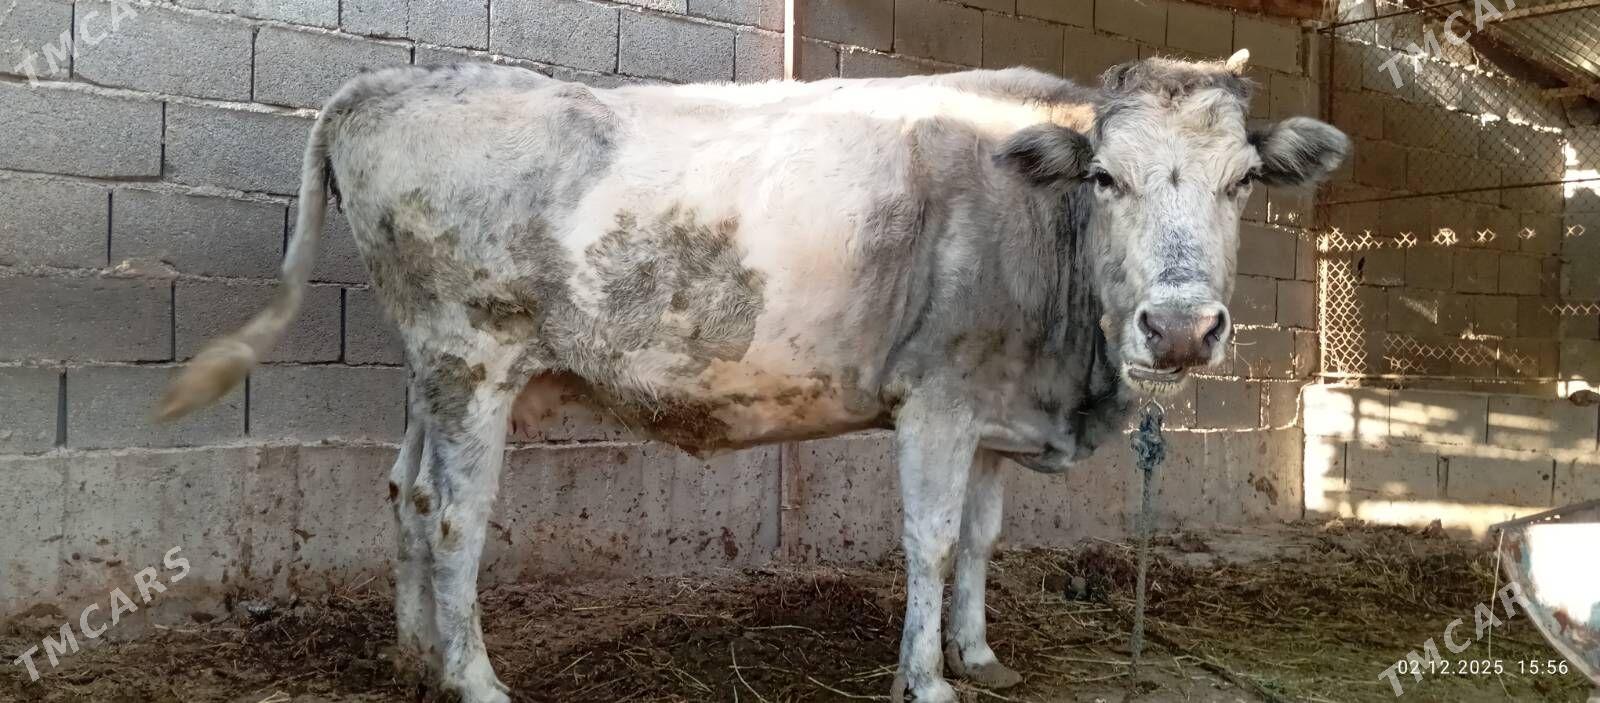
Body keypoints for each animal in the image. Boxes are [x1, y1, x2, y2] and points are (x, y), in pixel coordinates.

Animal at [158, 50, 1347, 702]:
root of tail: (393, 76)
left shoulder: (993, 404)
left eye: (1244, 180)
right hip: (474, 355)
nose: (1181, 327)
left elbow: (980, 540)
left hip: (432, 371)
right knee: (455, 515)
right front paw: (924, 677)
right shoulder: (937, 401)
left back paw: (416, 656)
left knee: (406, 491)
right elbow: (929, 538)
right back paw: (475, 677)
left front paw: (978, 654)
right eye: (1106, 176)